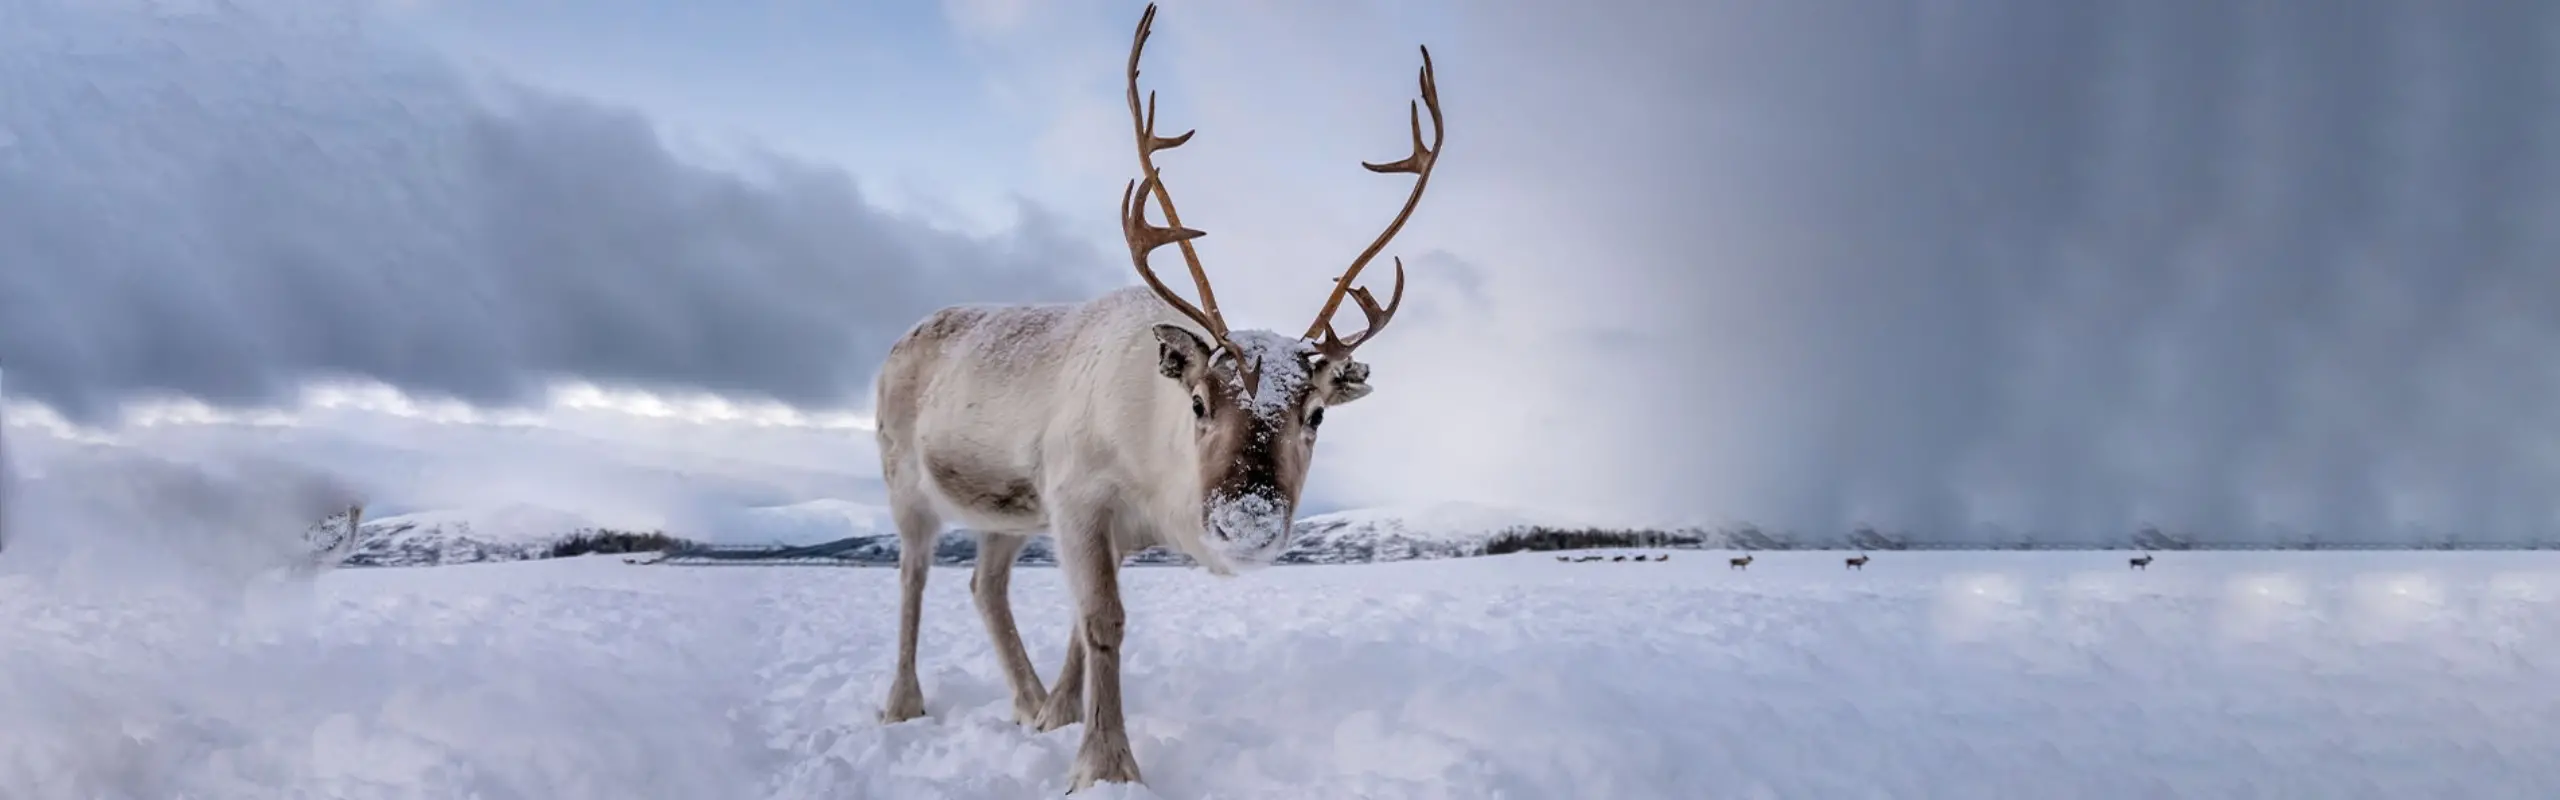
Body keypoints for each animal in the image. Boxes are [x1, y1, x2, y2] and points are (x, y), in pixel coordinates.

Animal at [867, 4, 1444, 792]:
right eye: (1198, 402)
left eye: (1317, 413)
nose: (1247, 523)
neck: (1152, 472)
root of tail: (901, 340)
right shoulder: (1078, 496)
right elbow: (1103, 621)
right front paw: (1105, 765)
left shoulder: (1104, 527)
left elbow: (1081, 625)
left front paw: (1058, 718)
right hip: (905, 480)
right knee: (912, 576)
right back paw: (903, 704)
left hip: (1006, 512)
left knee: (985, 584)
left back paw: (1025, 701)